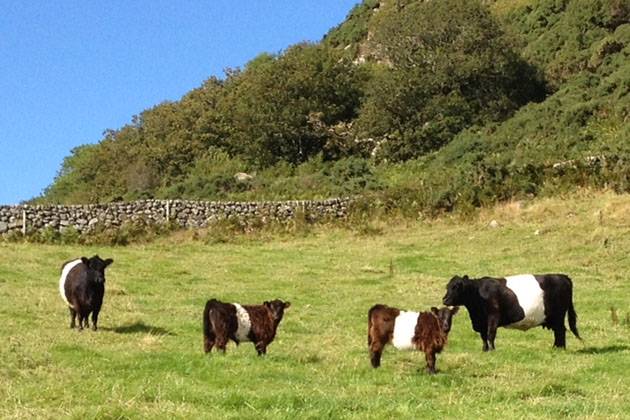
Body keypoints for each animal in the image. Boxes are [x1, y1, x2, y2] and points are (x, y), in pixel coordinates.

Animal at [444, 272, 584, 352]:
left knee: (560, 331)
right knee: (559, 331)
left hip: (558, 315)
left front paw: (492, 350)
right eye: (447, 286)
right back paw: (556, 348)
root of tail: (563, 276)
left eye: (456, 287)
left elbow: (490, 334)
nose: (444, 299)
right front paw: (484, 350)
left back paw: (559, 348)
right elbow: (483, 336)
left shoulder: (493, 316)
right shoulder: (480, 321)